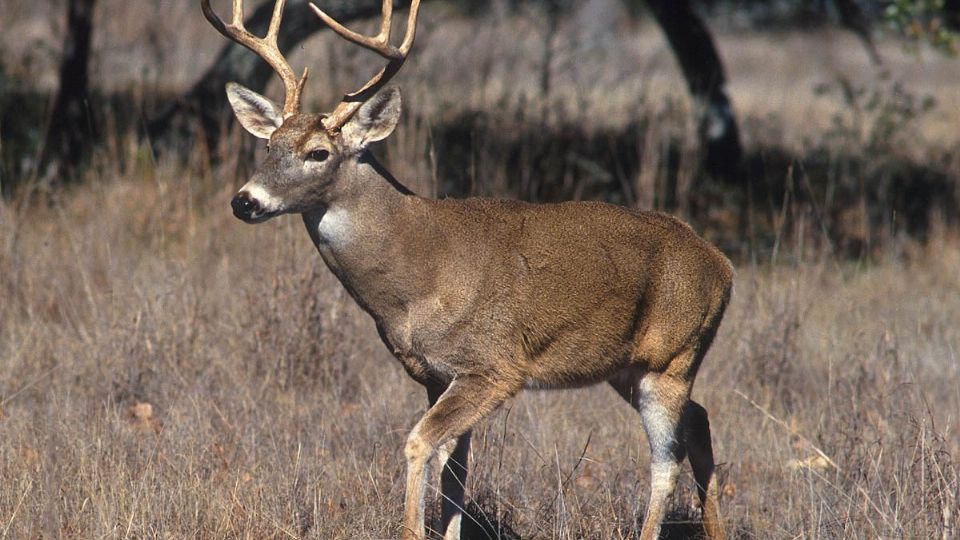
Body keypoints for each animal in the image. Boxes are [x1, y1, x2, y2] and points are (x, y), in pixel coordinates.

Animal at [199, 1, 732, 540]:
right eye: (269, 147)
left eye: (318, 153)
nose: (245, 201)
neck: (416, 277)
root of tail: (722, 264)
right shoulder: (435, 374)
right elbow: (454, 469)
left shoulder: (493, 366)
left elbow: (419, 443)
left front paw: (412, 529)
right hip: (627, 367)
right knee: (700, 422)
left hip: (672, 357)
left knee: (666, 460)